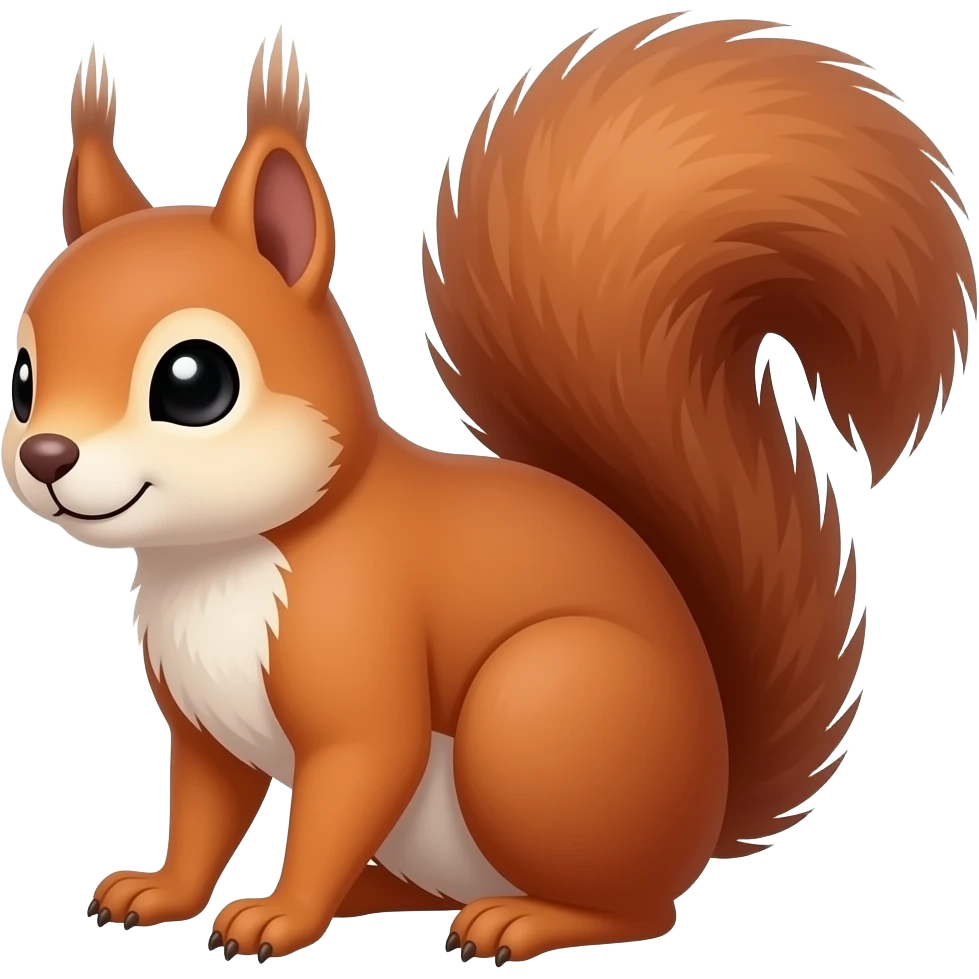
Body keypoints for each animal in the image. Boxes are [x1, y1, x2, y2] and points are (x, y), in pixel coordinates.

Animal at [3, 15, 973, 967]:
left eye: (195, 381)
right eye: (21, 379)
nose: (47, 455)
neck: (217, 560)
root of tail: (705, 812)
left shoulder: (363, 661)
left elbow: (346, 783)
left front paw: (280, 913)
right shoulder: (203, 728)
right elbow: (207, 812)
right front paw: (163, 892)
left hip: (539, 713)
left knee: (635, 907)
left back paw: (519, 920)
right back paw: (379, 895)